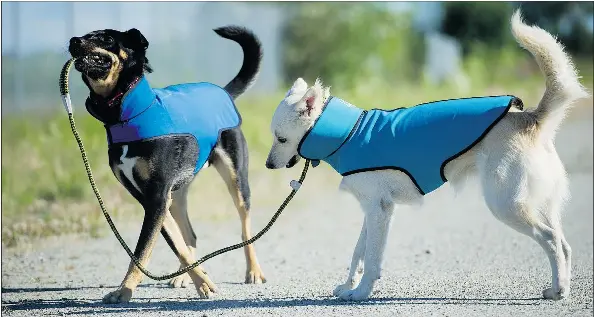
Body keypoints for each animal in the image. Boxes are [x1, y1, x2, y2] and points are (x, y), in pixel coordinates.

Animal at [68, 25, 264, 302]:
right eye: (84, 35)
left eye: (105, 38)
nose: (73, 42)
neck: (127, 114)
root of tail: (223, 91)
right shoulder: (152, 200)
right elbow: (176, 245)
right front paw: (202, 282)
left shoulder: (158, 197)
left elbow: (141, 252)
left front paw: (124, 290)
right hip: (178, 195)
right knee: (189, 236)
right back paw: (184, 276)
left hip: (236, 181)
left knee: (245, 229)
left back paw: (254, 271)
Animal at [264, 10, 588, 302]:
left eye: (281, 138)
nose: (267, 165)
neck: (349, 132)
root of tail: (529, 118)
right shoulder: (374, 210)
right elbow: (359, 252)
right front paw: (349, 287)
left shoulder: (379, 211)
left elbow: (371, 257)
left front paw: (362, 292)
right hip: (538, 203)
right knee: (563, 244)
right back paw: (559, 286)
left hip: (506, 204)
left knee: (550, 240)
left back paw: (559, 290)